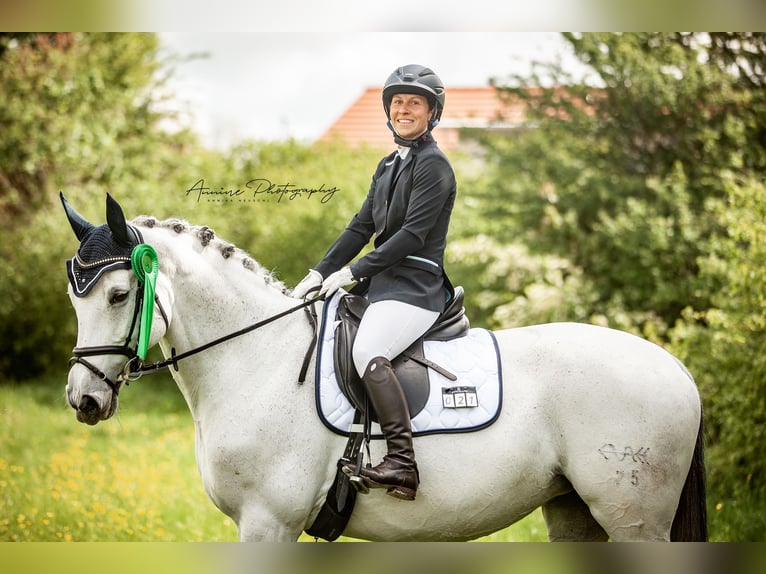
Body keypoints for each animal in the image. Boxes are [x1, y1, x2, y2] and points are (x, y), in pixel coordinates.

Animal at [61, 194, 707, 542]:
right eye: (74, 298)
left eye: (119, 295)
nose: (83, 400)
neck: (257, 363)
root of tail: (675, 367)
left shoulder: (267, 522)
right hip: (574, 510)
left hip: (633, 517)